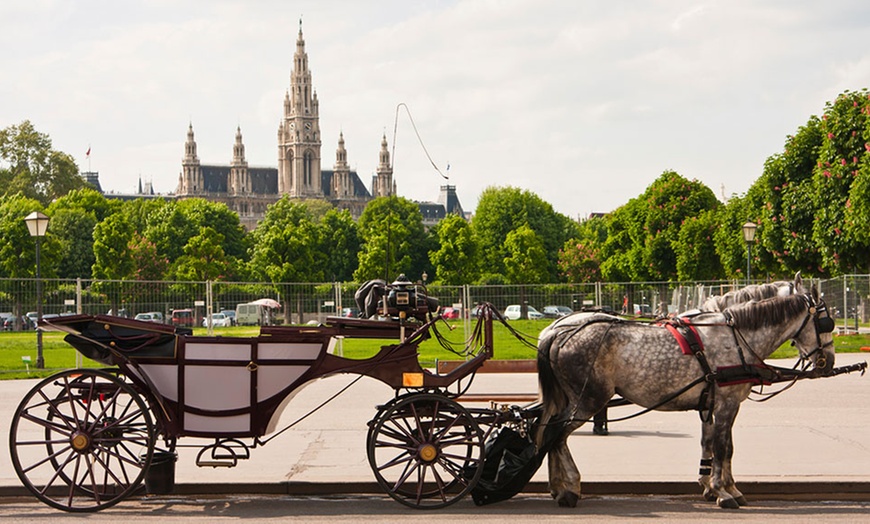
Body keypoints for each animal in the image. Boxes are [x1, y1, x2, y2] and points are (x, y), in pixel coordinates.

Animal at [540, 282, 836, 508]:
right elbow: (723, 447)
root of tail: (558, 334)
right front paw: (723, 491)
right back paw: (569, 488)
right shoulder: (727, 404)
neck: (736, 337)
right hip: (589, 399)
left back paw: (558, 486)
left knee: (549, 431)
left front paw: (717, 486)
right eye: (826, 323)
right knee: (557, 433)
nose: (829, 361)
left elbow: (712, 444)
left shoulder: (709, 404)